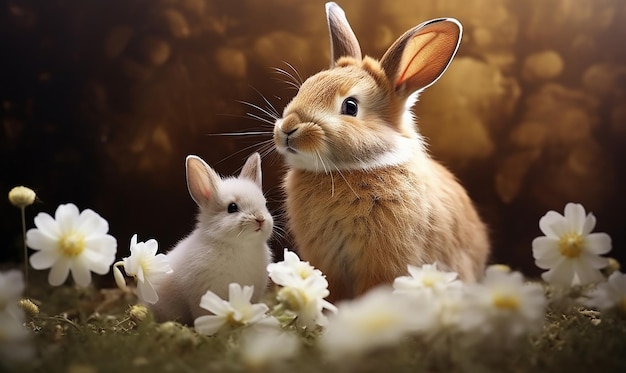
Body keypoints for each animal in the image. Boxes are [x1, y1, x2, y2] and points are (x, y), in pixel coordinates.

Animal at [272, 2, 488, 300]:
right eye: (304, 88)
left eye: (350, 106)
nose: (287, 129)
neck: (346, 171)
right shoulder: (328, 264)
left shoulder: (384, 262)